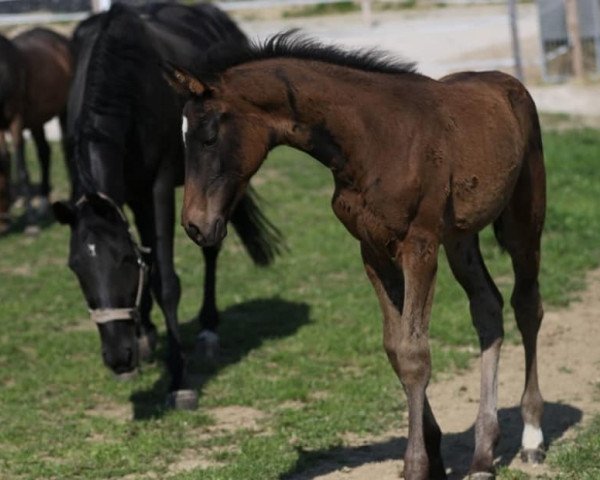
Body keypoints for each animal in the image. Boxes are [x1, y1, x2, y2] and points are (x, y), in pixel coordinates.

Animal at [0, 28, 73, 234]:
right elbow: (5, 159)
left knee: (66, 148)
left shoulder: (15, 122)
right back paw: (43, 205)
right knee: (44, 152)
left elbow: (21, 168)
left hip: (64, 110)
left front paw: (31, 223)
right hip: (36, 120)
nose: (2, 225)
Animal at [52, 3, 282, 408]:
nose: (118, 357)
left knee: (211, 247)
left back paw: (208, 330)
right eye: (75, 267)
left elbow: (165, 280)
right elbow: (146, 256)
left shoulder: (157, 189)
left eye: (122, 263)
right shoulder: (129, 193)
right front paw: (144, 336)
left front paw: (179, 379)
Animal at [166, 34, 548, 480]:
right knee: (487, 307)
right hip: (460, 238)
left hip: (524, 219)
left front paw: (416, 466)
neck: (372, 139)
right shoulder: (373, 250)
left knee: (527, 305)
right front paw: (434, 456)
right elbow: (395, 348)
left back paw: (532, 437)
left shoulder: (419, 247)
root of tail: (511, 83)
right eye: (183, 138)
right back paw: (484, 456)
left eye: (209, 137)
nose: (195, 226)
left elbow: (415, 354)